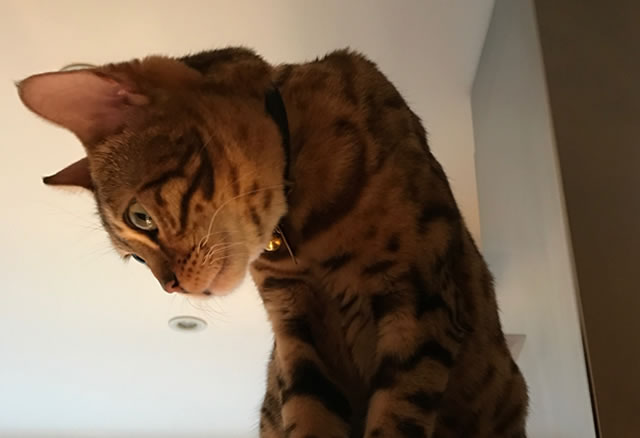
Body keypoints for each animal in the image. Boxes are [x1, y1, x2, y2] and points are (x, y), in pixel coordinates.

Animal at [18, 47, 528, 438]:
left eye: (140, 219)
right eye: (135, 261)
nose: (170, 287)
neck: (304, 236)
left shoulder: (419, 304)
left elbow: (396, 419)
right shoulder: (297, 335)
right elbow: (309, 414)